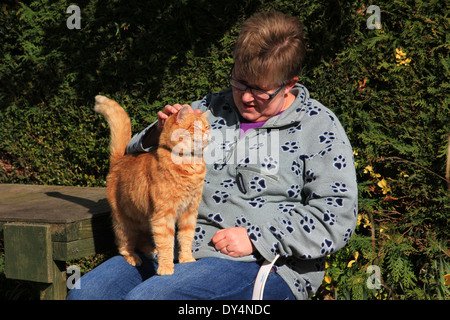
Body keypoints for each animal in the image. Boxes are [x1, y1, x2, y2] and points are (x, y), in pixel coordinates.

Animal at [95, 95, 211, 276]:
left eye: (207, 126)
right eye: (196, 127)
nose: (208, 133)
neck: (189, 166)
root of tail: (120, 159)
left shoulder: (189, 212)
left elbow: (186, 238)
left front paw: (186, 259)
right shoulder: (163, 217)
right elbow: (166, 244)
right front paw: (165, 268)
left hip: (144, 220)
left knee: (142, 241)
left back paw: (151, 250)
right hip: (125, 223)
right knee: (123, 245)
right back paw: (133, 257)